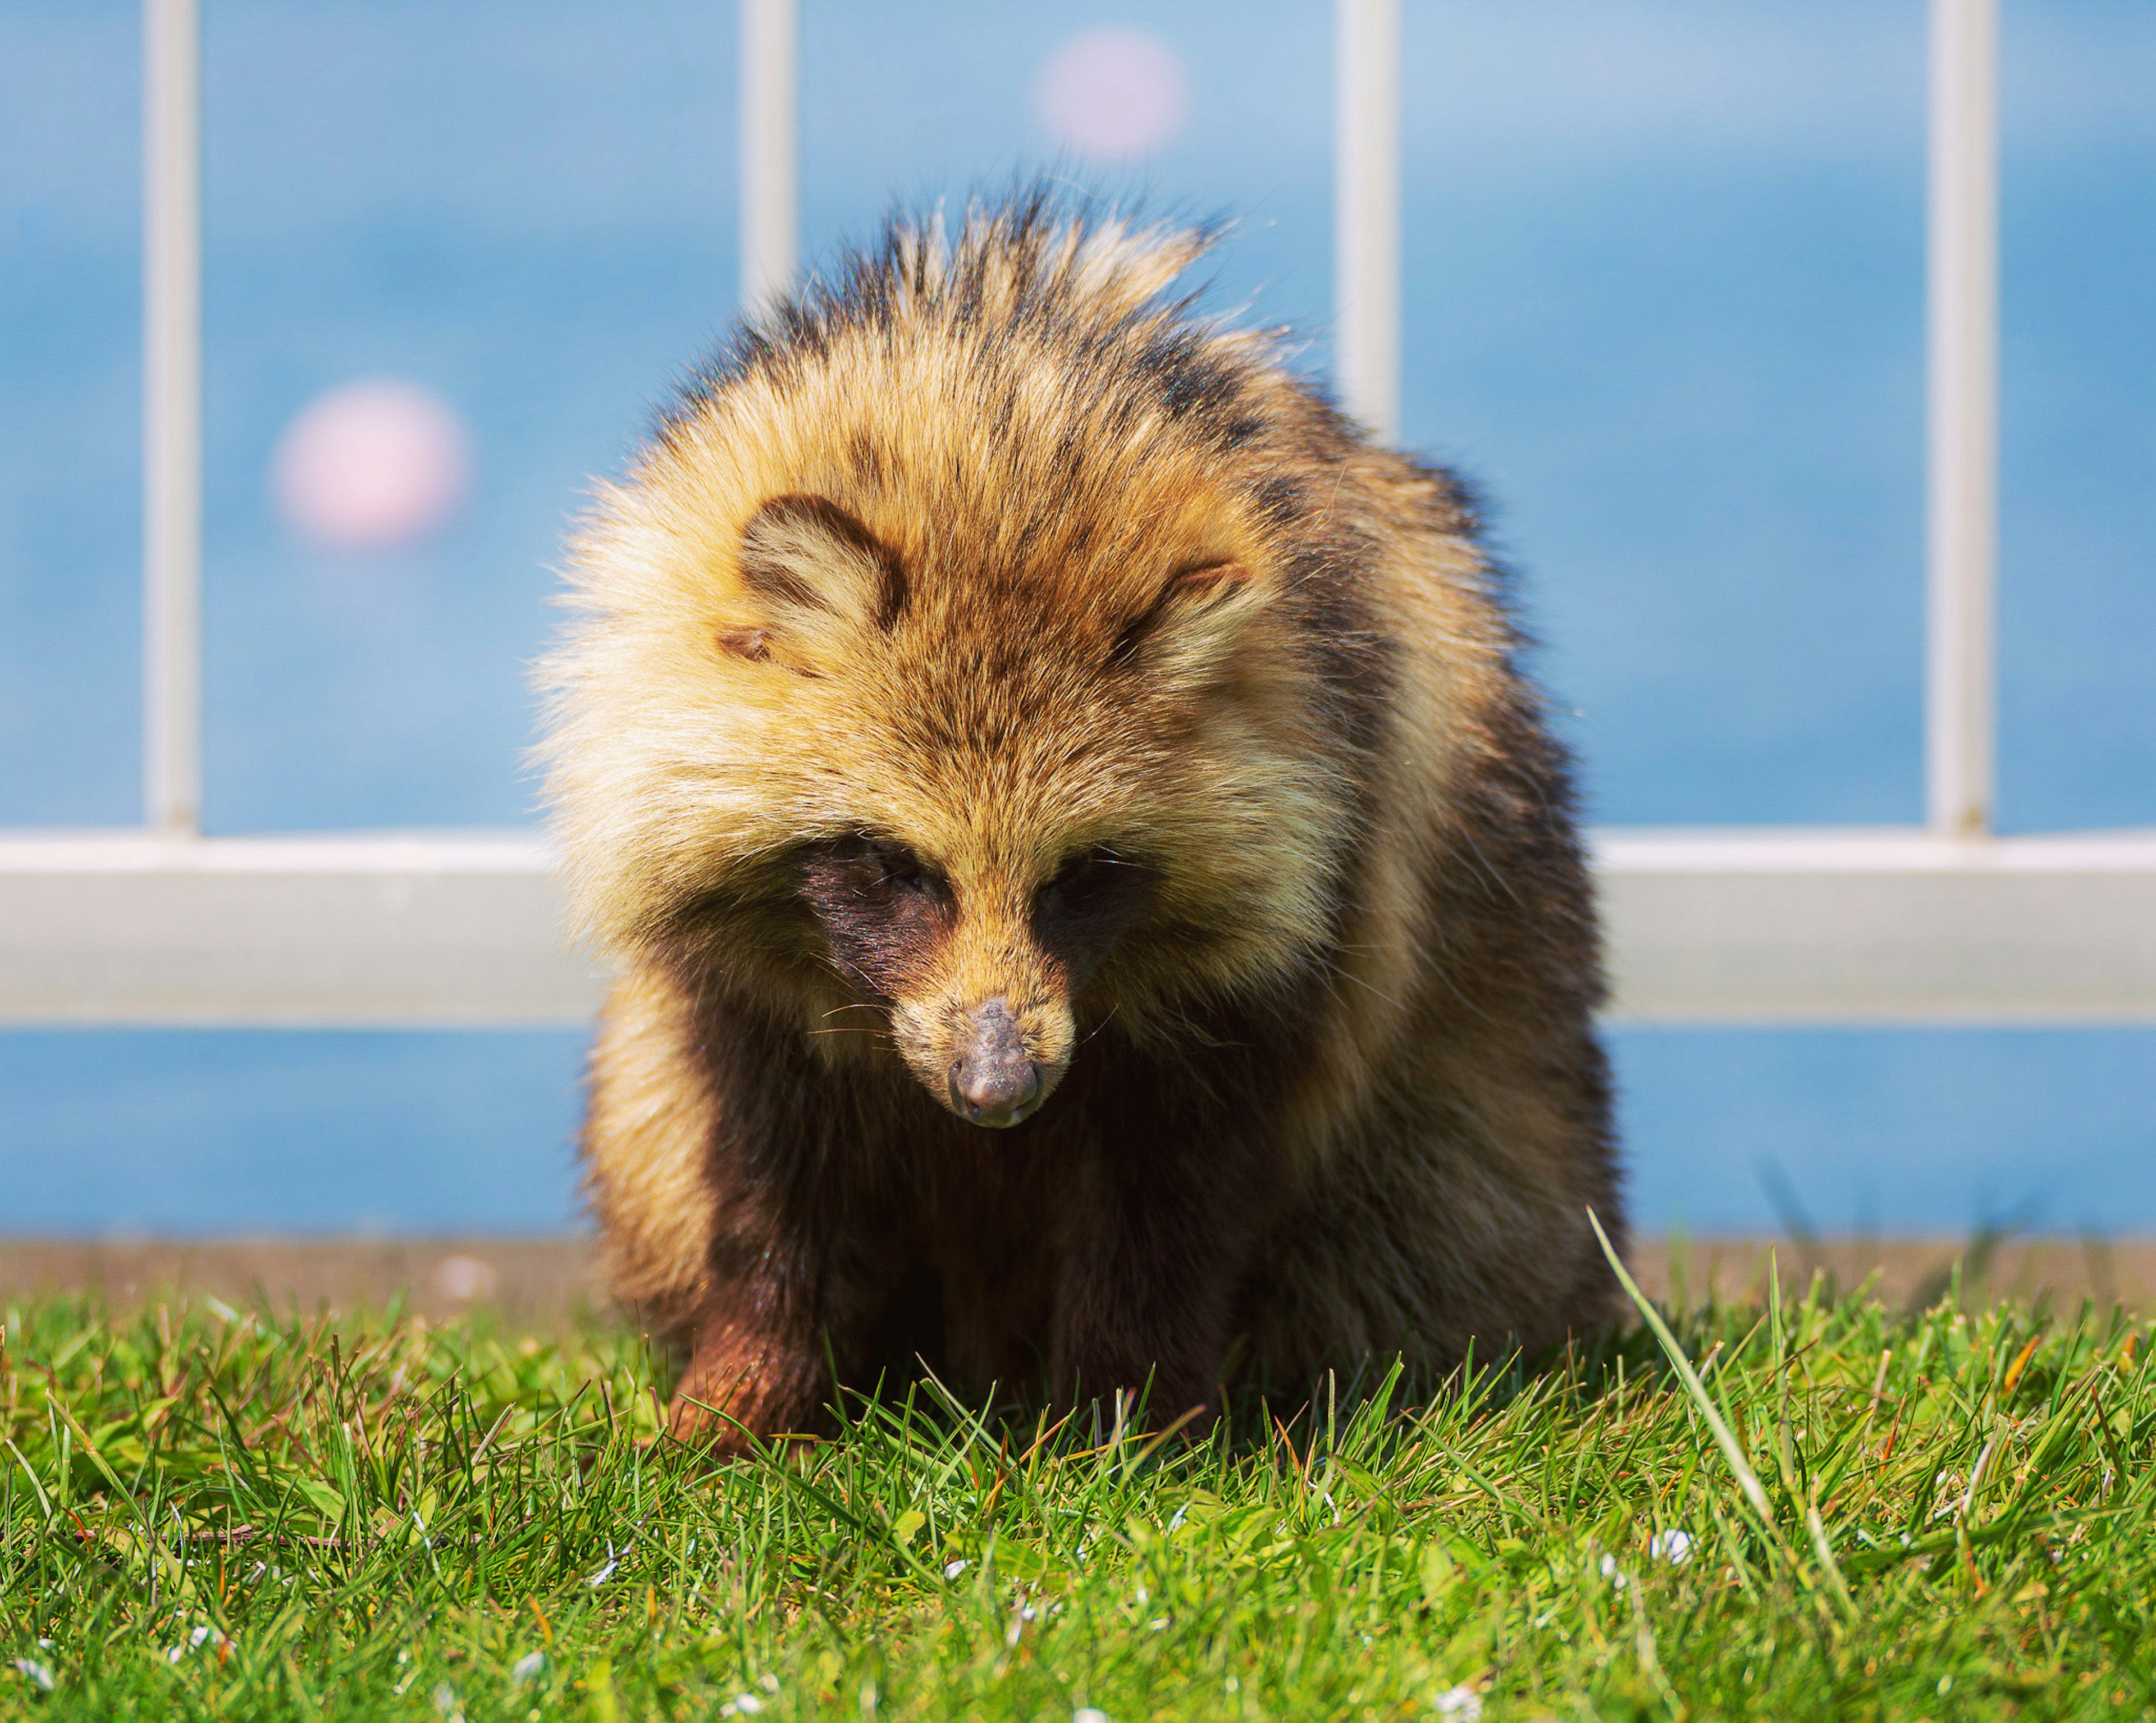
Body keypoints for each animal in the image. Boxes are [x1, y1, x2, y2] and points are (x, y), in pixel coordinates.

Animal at [539, 192, 1621, 1457]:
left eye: (1083, 871)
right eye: (895, 866)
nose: (998, 1087)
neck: (997, 411)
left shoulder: (1317, 888)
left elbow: (1172, 1195)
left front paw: (1132, 1415)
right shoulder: (755, 992)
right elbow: (775, 1181)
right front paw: (751, 1385)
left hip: (1483, 1139)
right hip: (641, 1118)